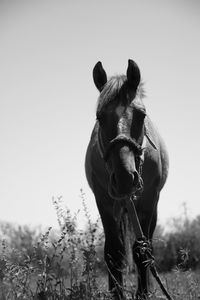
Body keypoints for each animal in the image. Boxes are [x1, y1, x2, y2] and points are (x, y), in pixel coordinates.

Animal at [84, 59, 169, 298]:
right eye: (99, 117)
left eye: (141, 115)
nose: (124, 178)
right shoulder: (104, 200)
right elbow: (114, 251)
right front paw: (117, 293)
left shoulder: (147, 200)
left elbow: (142, 250)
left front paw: (143, 293)